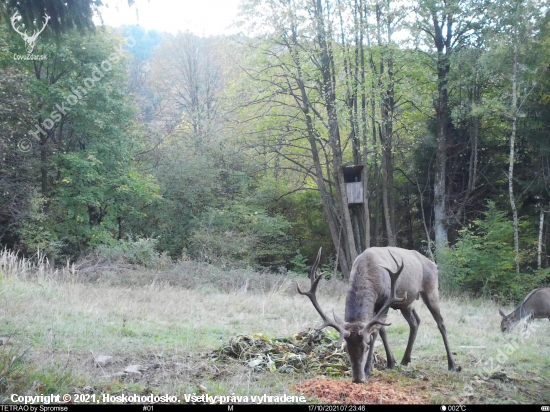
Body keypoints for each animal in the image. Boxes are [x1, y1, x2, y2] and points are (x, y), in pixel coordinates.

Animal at [297, 246, 458, 383]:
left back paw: (452, 364)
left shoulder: (385, 300)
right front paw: (391, 362)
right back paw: (405, 359)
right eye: (347, 349)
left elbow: (375, 332)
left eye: (366, 347)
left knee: (441, 323)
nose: (357, 379)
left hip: (431, 290)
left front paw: (368, 369)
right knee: (415, 321)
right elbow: (382, 330)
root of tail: (433, 264)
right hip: (405, 302)